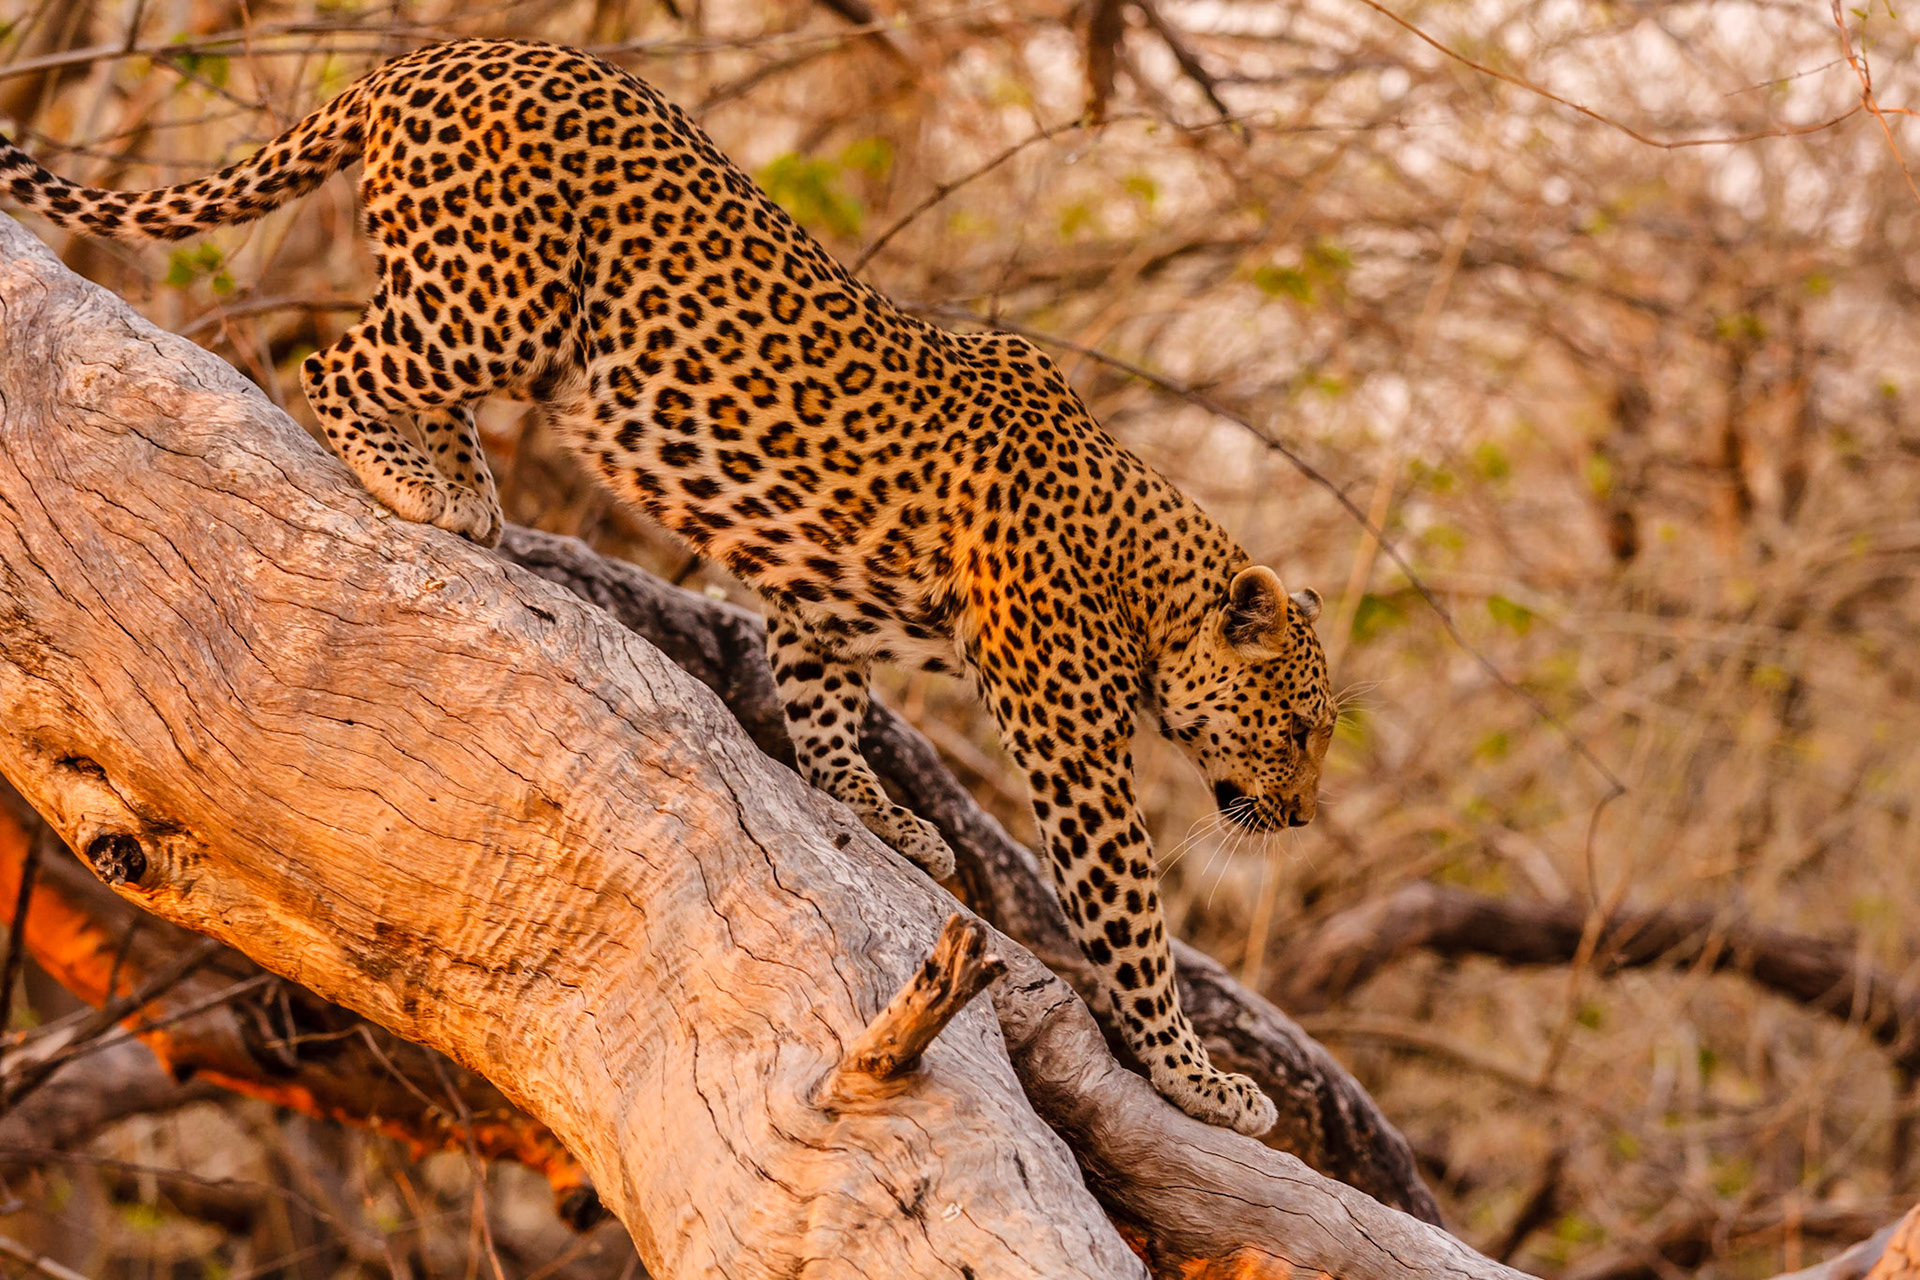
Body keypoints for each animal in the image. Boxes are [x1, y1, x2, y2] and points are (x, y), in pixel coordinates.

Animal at [0, 38, 1337, 1137]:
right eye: (1302, 727)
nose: (1303, 815)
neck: (1147, 571)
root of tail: (432, 55)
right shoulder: (1067, 735)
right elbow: (1133, 917)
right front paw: (1202, 1078)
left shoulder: (823, 604)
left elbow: (826, 710)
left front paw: (883, 814)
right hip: (496, 295)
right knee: (342, 357)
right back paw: (414, 483)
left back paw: (466, 490)